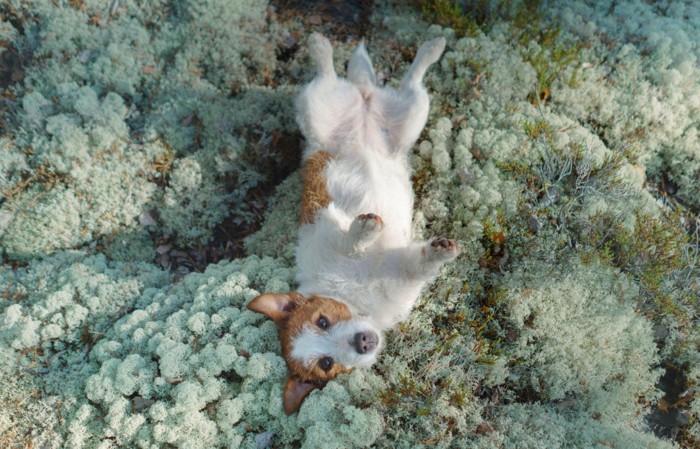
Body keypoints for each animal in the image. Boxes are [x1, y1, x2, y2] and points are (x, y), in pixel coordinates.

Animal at [247, 33, 460, 414]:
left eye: (322, 319)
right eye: (326, 364)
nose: (362, 342)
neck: (355, 293)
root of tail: (363, 98)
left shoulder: (325, 225)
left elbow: (348, 239)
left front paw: (365, 230)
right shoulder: (403, 273)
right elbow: (420, 264)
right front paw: (438, 252)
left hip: (351, 109)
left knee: (373, 75)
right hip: (402, 115)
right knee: (403, 80)